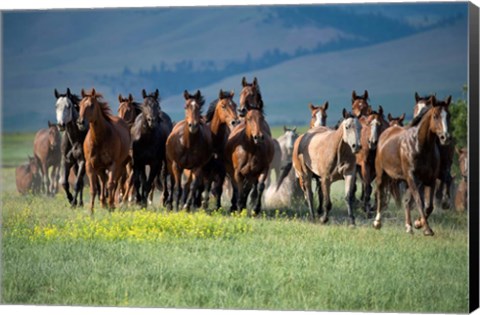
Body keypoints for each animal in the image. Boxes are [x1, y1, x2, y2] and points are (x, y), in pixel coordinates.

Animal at [374, 97, 452, 236]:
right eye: (435, 116)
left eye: (449, 115)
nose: (445, 137)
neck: (420, 145)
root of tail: (386, 133)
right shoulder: (412, 177)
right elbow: (419, 201)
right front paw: (427, 229)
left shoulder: (430, 180)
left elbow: (429, 206)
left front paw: (418, 223)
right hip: (381, 174)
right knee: (380, 193)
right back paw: (377, 222)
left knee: (406, 201)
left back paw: (408, 226)